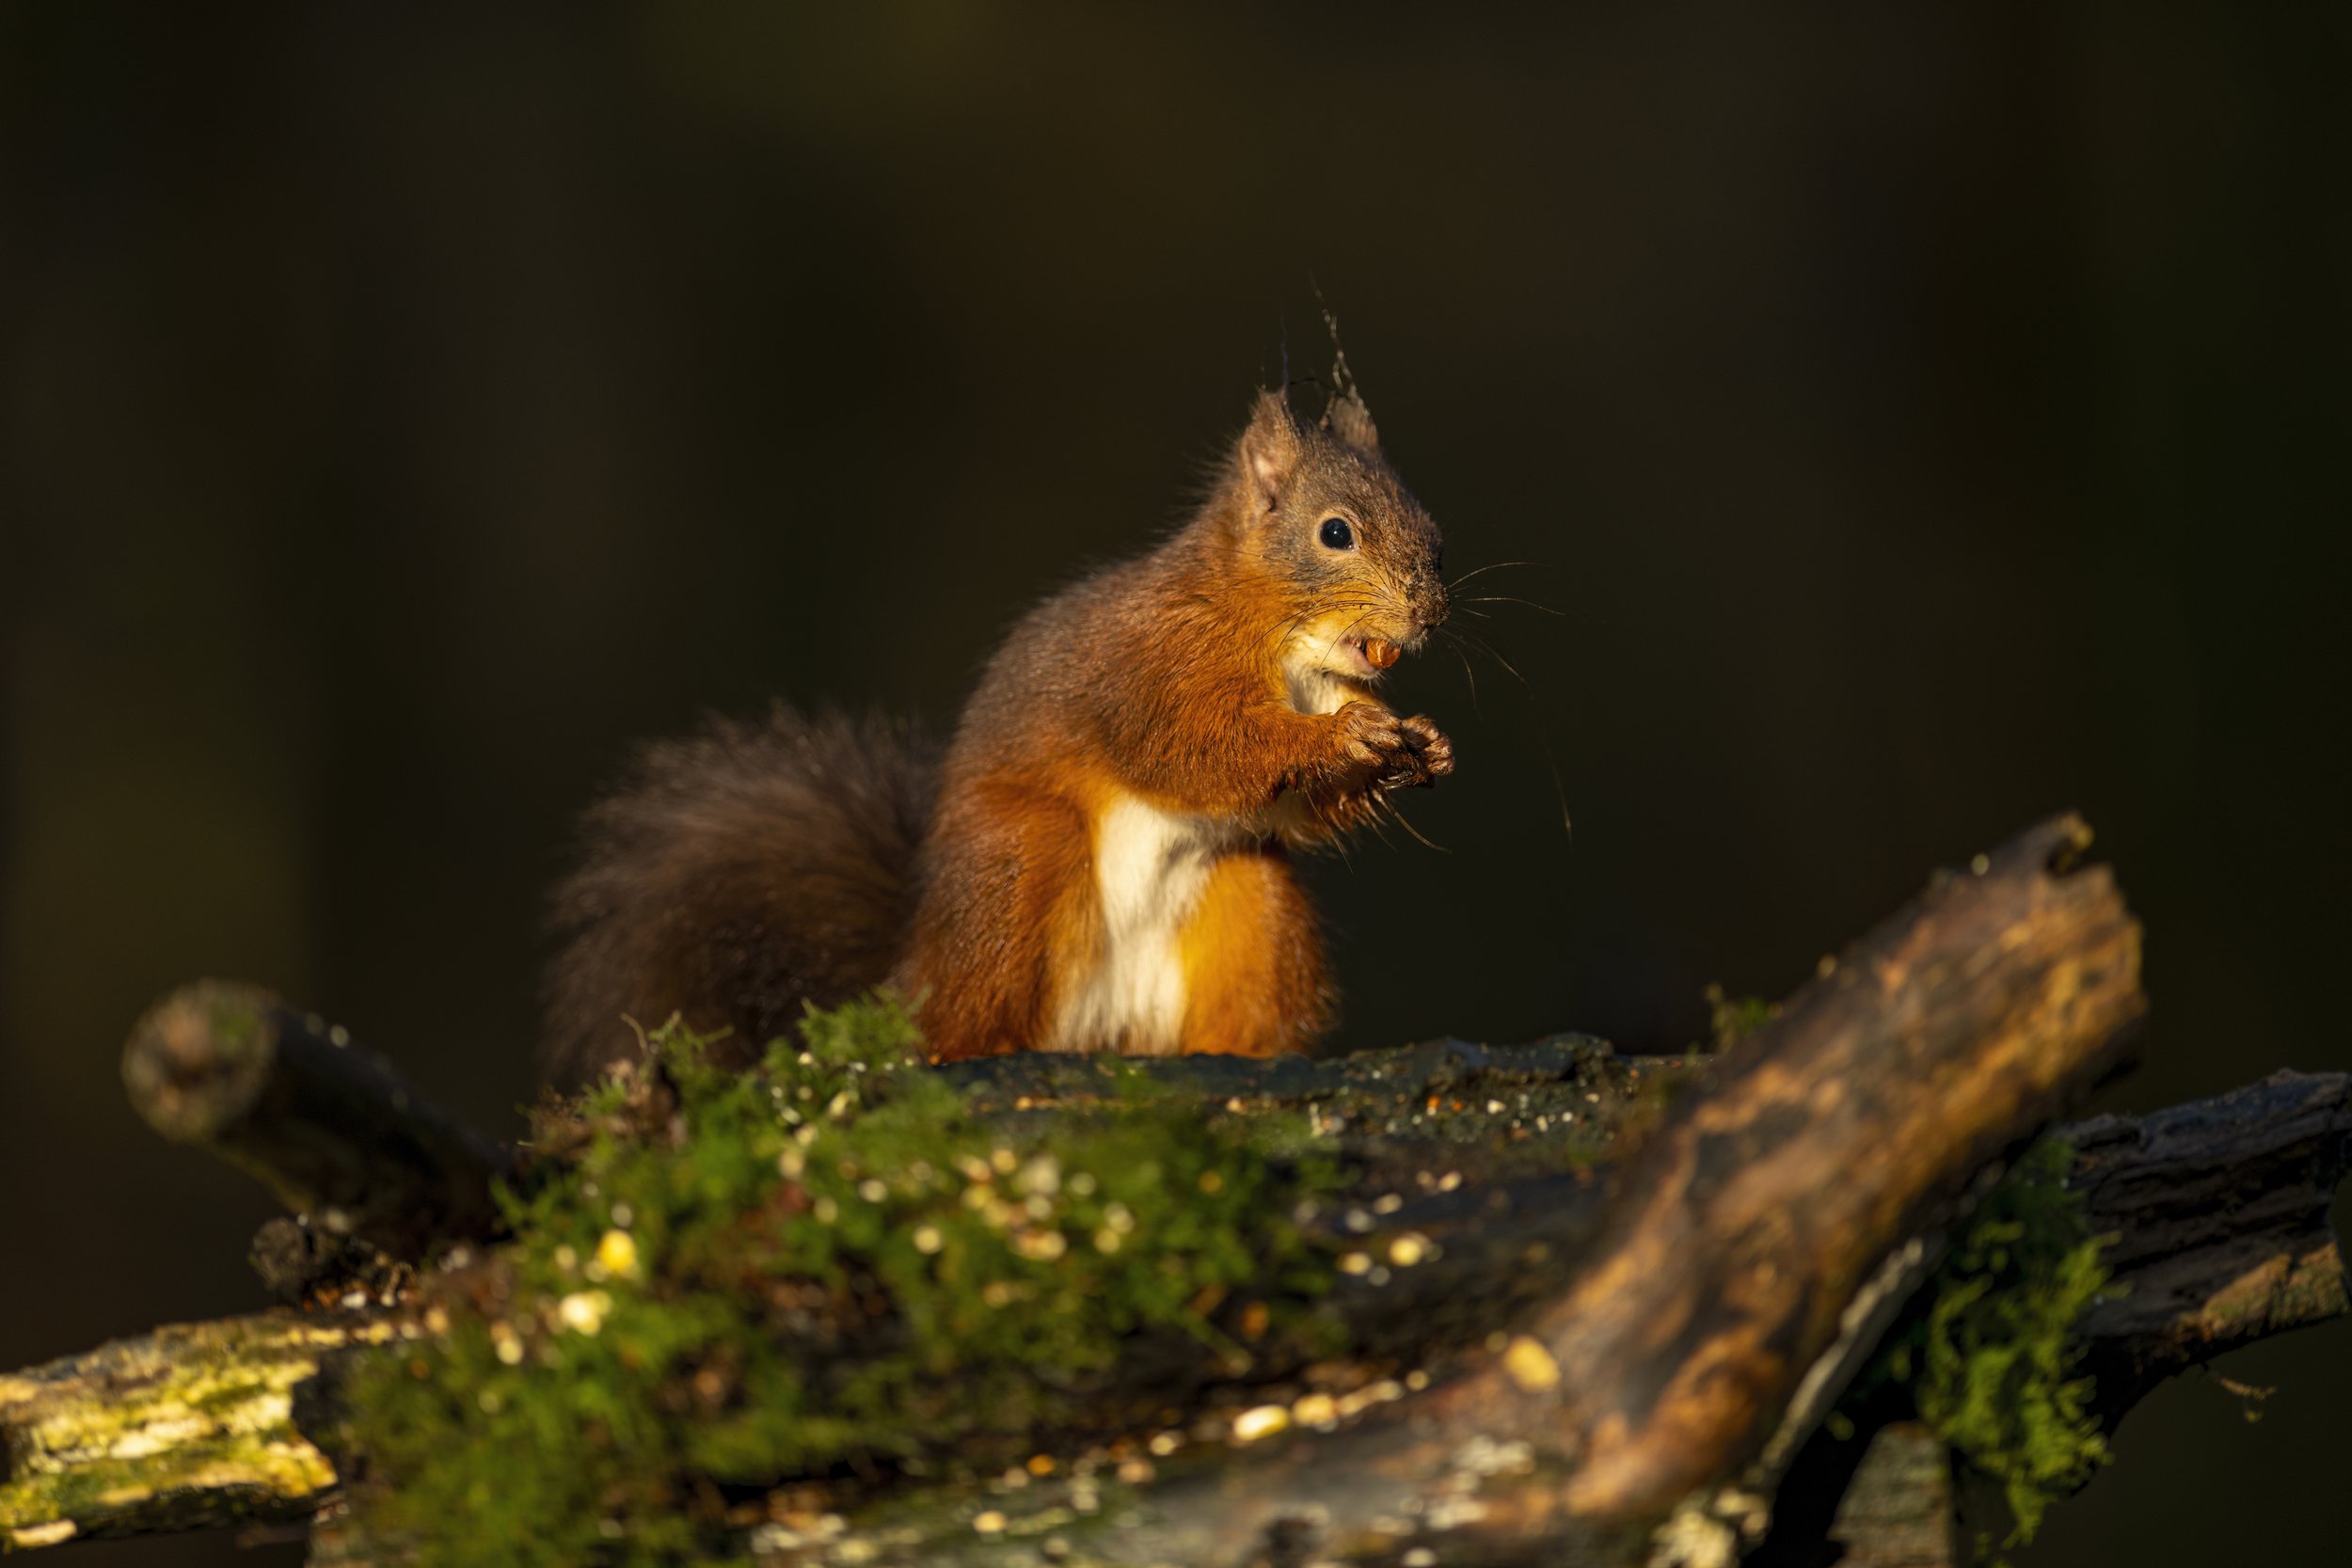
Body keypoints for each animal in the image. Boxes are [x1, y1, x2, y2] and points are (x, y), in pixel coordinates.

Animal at [544, 378, 1452, 1080]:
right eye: (1335, 532)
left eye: (1434, 532)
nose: (1428, 614)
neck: (1284, 643)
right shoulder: (1154, 667)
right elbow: (1198, 748)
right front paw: (1342, 739)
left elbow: (1293, 802)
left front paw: (1414, 738)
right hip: (1019, 861)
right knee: (958, 1026)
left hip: (1254, 901)